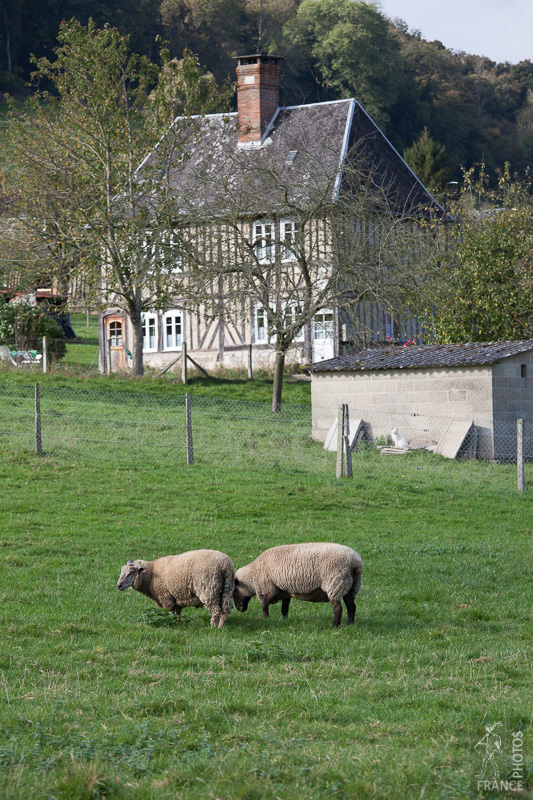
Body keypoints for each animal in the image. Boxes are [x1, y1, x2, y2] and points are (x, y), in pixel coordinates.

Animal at [232, 540, 362, 628]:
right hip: (349, 585)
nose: (239, 609)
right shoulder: (284, 591)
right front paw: (285, 620)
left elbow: (264, 605)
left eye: (234, 593)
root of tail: (356, 562)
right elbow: (284, 608)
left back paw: (334, 626)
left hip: (334, 583)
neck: (253, 576)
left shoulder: (269, 588)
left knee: (338, 608)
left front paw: (266, 619)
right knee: (351, 606)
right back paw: (349, 624)